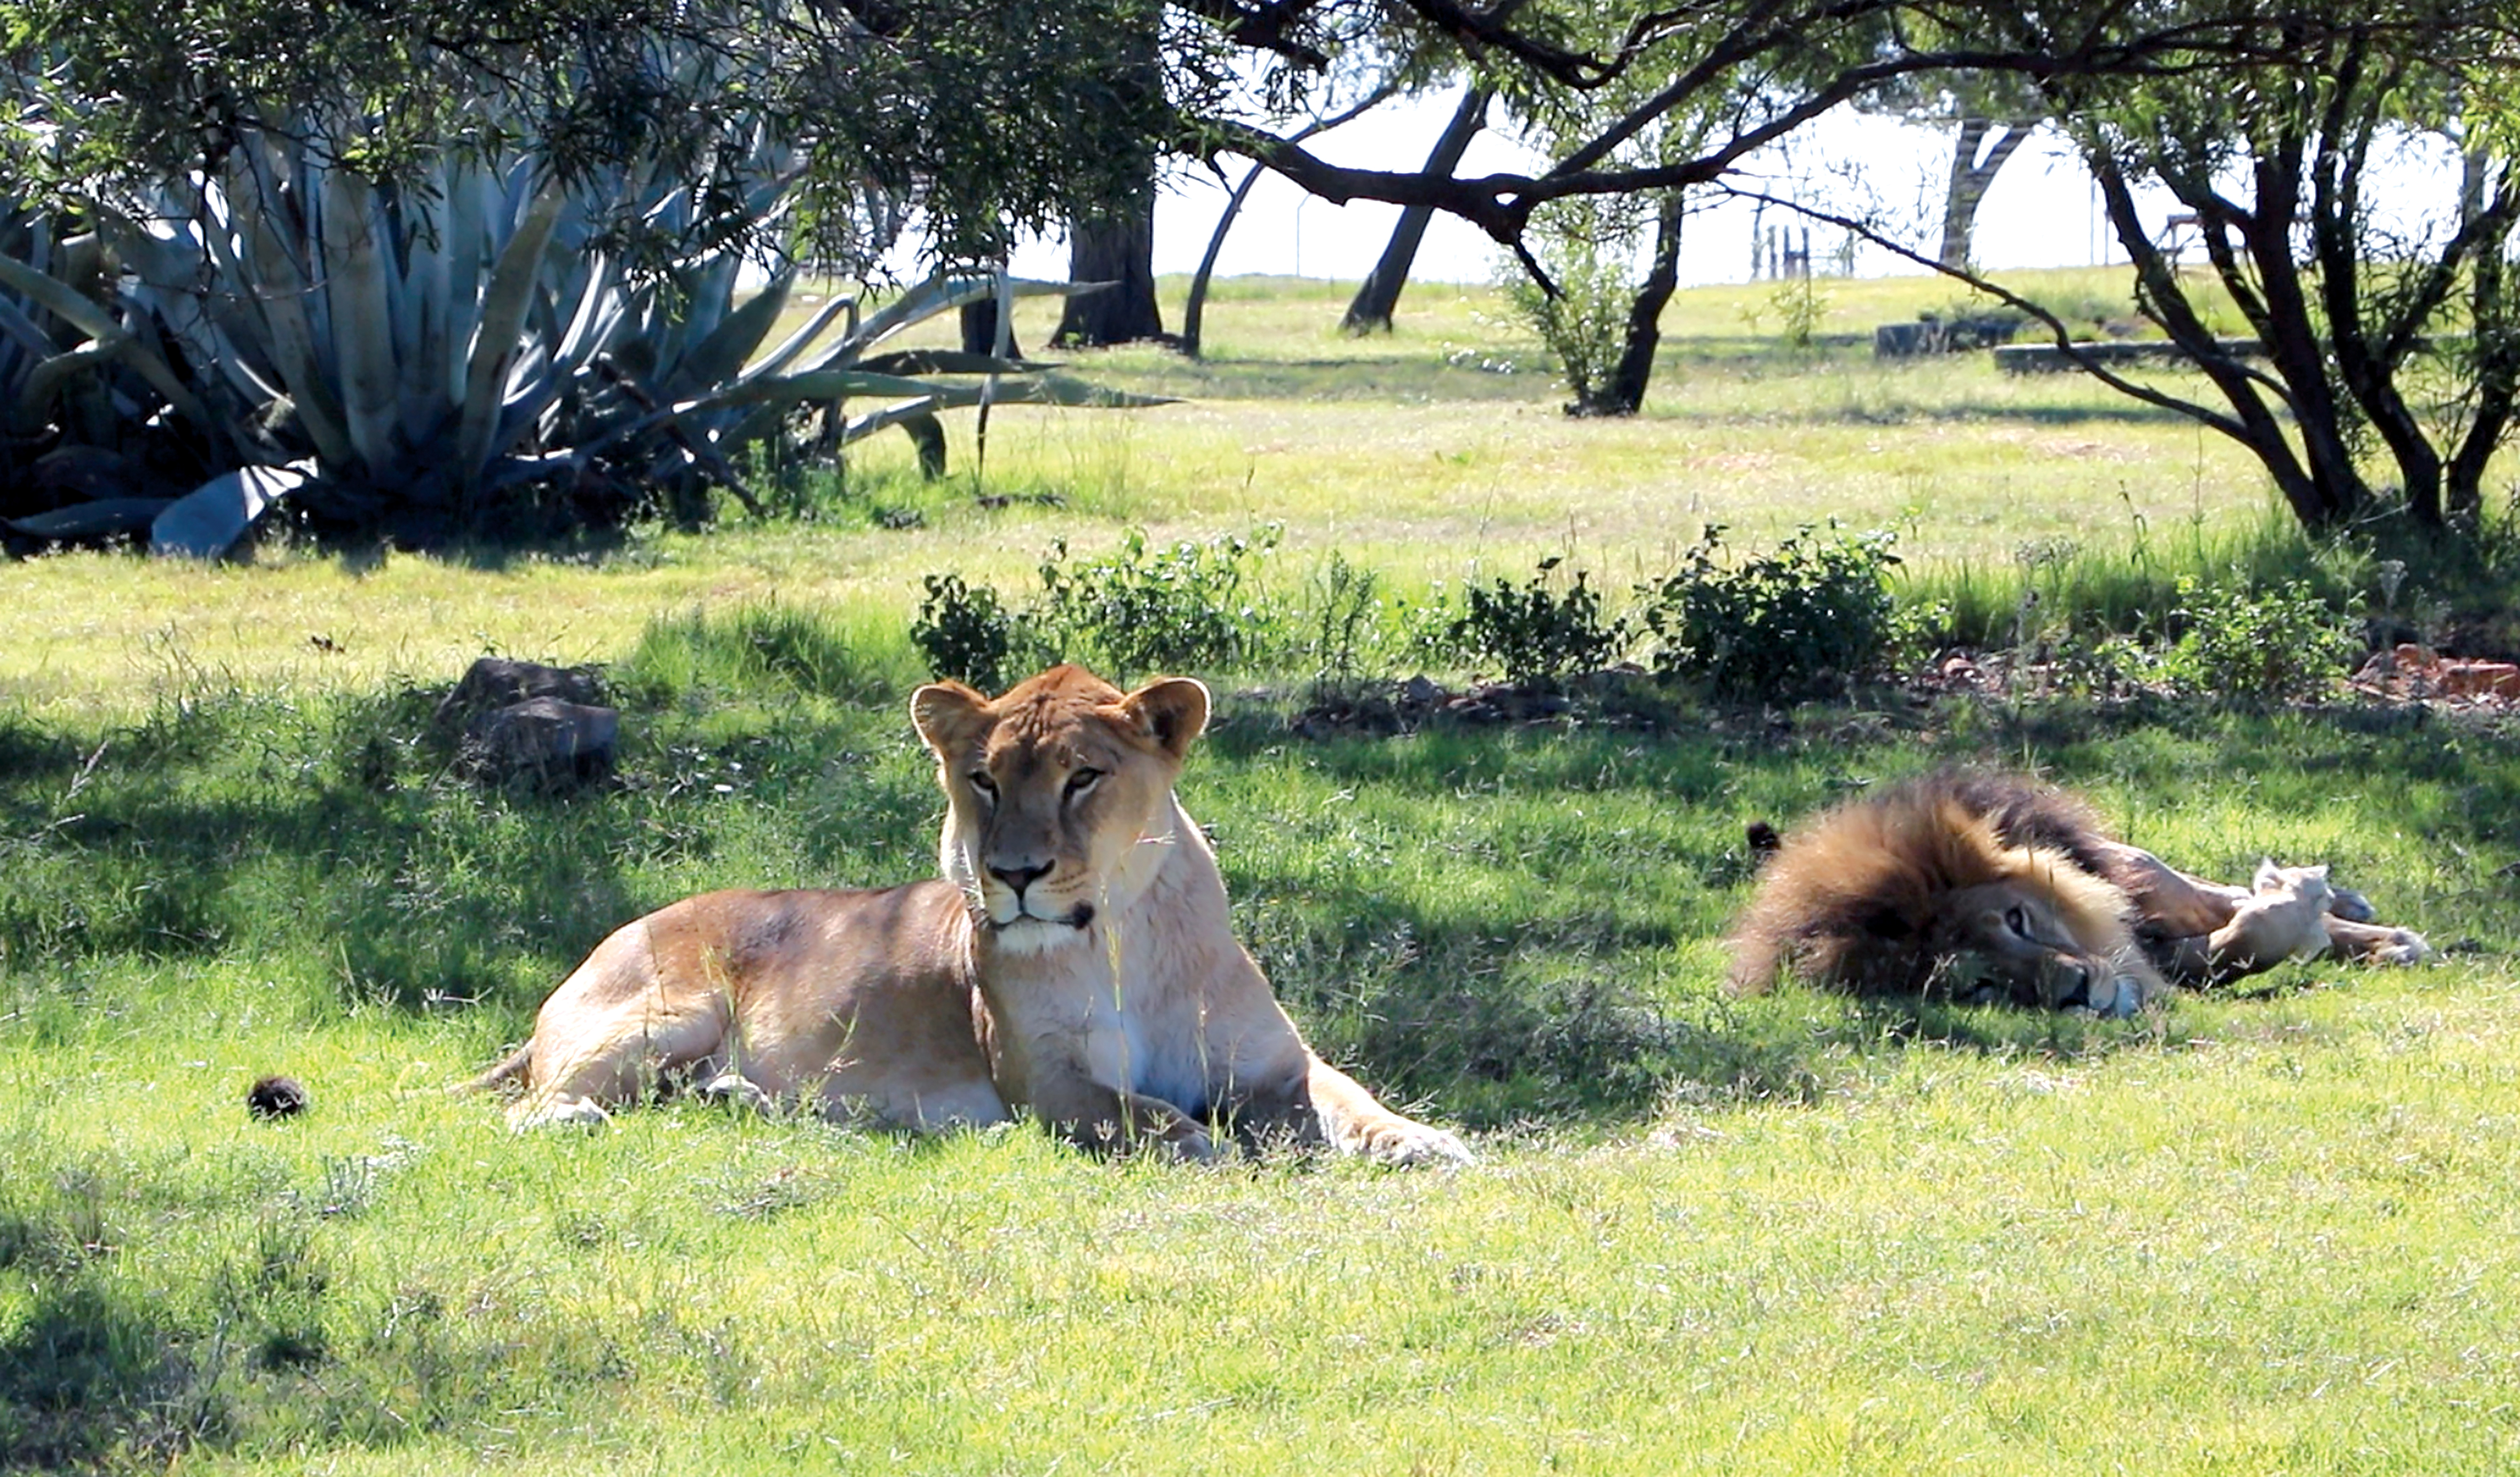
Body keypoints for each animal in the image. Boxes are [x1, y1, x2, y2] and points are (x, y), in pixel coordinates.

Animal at [469, 665, 1472, 1159]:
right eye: (984, 780)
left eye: (1082, 776)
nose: (1013, 872)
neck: (1124, 940)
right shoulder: (1048, 1082)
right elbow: (1152, 1115)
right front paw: (1220, 1147)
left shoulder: (1275, 1066)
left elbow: (1352, 1098)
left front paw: (1424, 1140)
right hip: (664, 1015)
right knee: (532, 1108)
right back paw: (586, 1117)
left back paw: (737, 1095)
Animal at [1734, 771, 2419, 1013]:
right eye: (1979, 984)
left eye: (2016, 919)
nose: (2078, 991)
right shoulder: (2159, 960)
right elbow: (2235, 944)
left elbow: (2238, 915)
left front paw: (2314, 901)